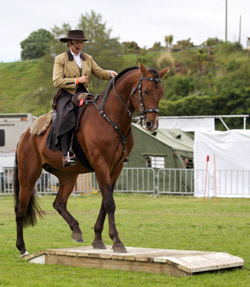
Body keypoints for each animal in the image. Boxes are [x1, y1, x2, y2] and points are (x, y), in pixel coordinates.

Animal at [14, 62, 170, 258]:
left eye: (161, 92)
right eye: (147, 91)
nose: (151, 124)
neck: (111, 119)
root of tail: (26, 135)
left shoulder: (115, 168)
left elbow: (105, 201)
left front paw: (98, 239)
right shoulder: (101, 165)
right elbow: (109, 202)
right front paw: (117, 241)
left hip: (68, 176)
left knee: (59, 203)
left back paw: (76, 230)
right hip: (28, 175)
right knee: (20, 209)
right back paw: (22, 248)